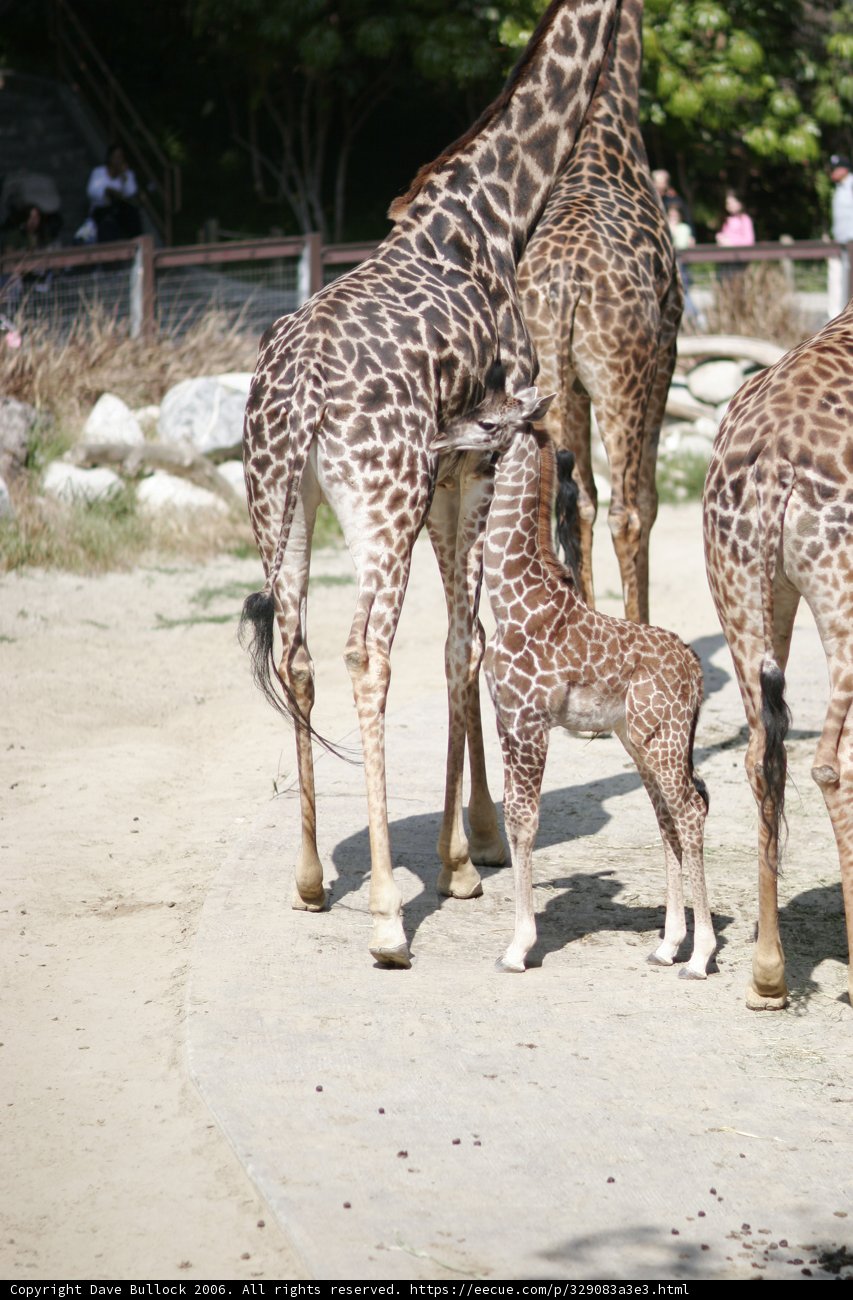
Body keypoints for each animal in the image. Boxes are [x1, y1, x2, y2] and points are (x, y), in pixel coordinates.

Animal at [240, 0, 619, 969]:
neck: (493, 210)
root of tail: (300, 395)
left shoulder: (451, 468)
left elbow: (464, 642)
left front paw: (467, 845)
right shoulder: (479, 459)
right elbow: (464, 644)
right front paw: (460, 862)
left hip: (275, 502)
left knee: (297, 655)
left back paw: (309, 881)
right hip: (382, 501)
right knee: (365, 653)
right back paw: (384, 918)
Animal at [433, 369, 715, 977]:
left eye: (486, 421)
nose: (439, 438)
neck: (514, 601)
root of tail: (697, 673)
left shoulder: (529, 720)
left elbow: (525, 820)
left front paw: (518, 948)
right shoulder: (506, 717)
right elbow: (517, 818)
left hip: (662, 738)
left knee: (689, 809)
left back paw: (700, 955)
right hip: (641, 738)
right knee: (669, 815)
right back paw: (666, 946)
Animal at [517, 0, 682, 623]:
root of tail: (566, 287)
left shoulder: (578, 386)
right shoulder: (666, 350)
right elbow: (648, 501)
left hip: (551, 383)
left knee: (572, 498)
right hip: (620, 380)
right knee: (623, 510)